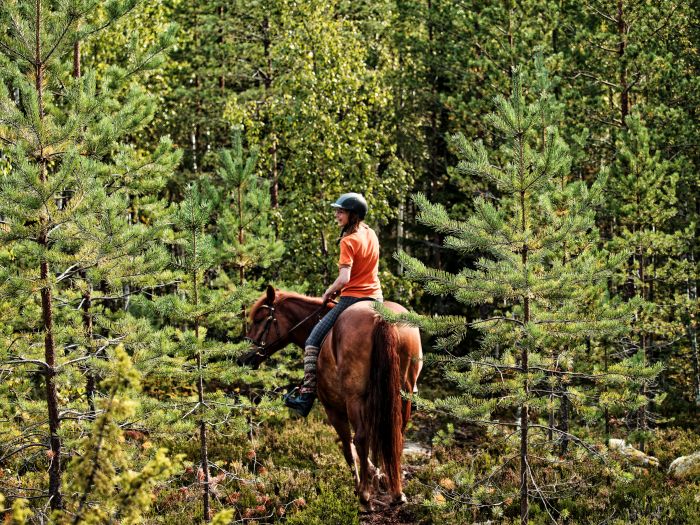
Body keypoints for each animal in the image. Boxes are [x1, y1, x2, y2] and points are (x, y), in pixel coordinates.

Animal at [241, 284, 422, 510]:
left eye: (259, 319)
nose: (243, 358)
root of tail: (381, 317)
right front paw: (379, 477)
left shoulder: (333, 409)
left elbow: (348, 447)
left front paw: (365, 483)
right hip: (403, 393)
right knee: (397, 433)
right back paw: (397, 492)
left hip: (354, 399)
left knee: (360, 438)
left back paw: (364, 496)